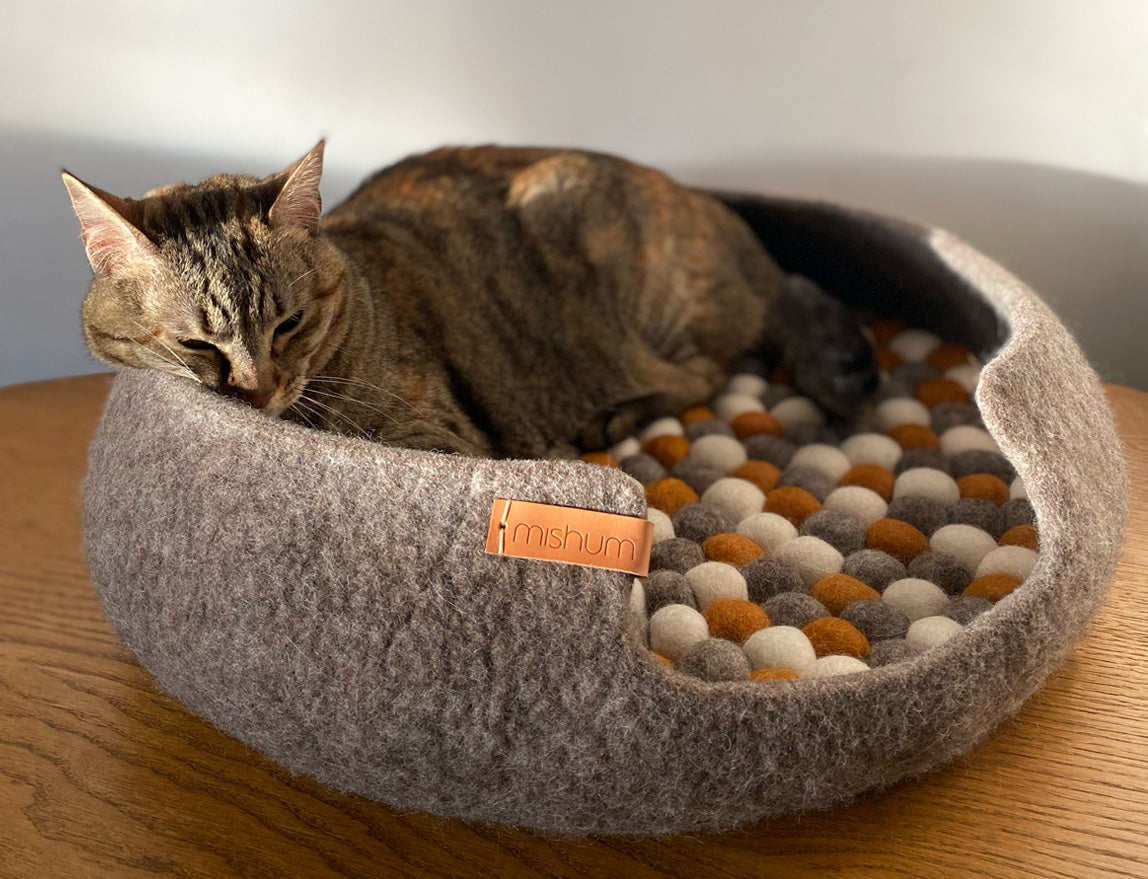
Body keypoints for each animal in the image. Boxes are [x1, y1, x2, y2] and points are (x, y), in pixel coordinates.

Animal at [63, 142, 875, 458]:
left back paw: (618, 414)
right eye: (195, 344)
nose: (258, 392)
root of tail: (728, 218)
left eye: (288, 324)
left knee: (705, 372)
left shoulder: (437, 437)